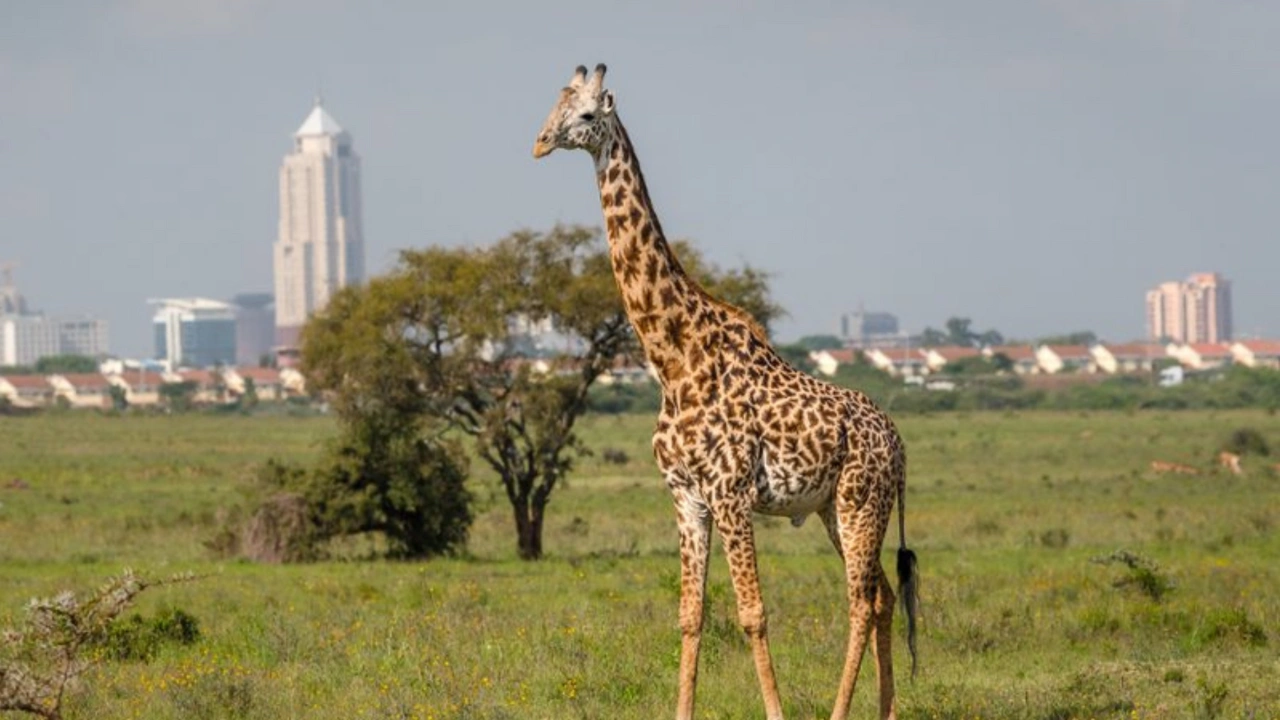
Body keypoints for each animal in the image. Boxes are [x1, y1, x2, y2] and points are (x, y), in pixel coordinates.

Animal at [533, 64, 919, 720]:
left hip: (860, 500)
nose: (538, 143)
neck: (674, 361)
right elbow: (690, 615)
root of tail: (897, 442)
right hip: (833, 508)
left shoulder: (732, 493)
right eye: (553, 107)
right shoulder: (686, 496)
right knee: (884, 597)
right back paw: (886, 710)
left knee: (861, 602)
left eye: (584, 115)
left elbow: (752, 614)